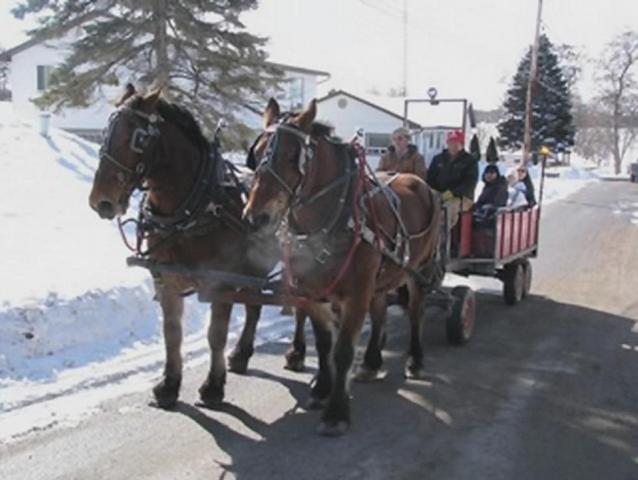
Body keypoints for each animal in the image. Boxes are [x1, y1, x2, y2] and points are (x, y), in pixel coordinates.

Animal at [88, 87, 280, 408]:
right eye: (104, 133)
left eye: (138, 138)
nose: (101, 201)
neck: (193, 209)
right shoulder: (166, 279)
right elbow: (172, 333)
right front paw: (169, 385)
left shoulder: (220, 282)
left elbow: (216, 335)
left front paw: (213, 386)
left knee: (262, 307)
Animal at [242, 97, 442, 436]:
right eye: (255, 155)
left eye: (292, 155)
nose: (256, 217)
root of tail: (421, 184)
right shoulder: (312, 292)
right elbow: (324, 344)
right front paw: (322, 387)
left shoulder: (356, 294)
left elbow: (344, 350)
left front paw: (337, 412)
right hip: (381, 278)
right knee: (380, 313)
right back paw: (372, 362)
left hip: (419, 270)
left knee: (416, 312)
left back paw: (415, 360)